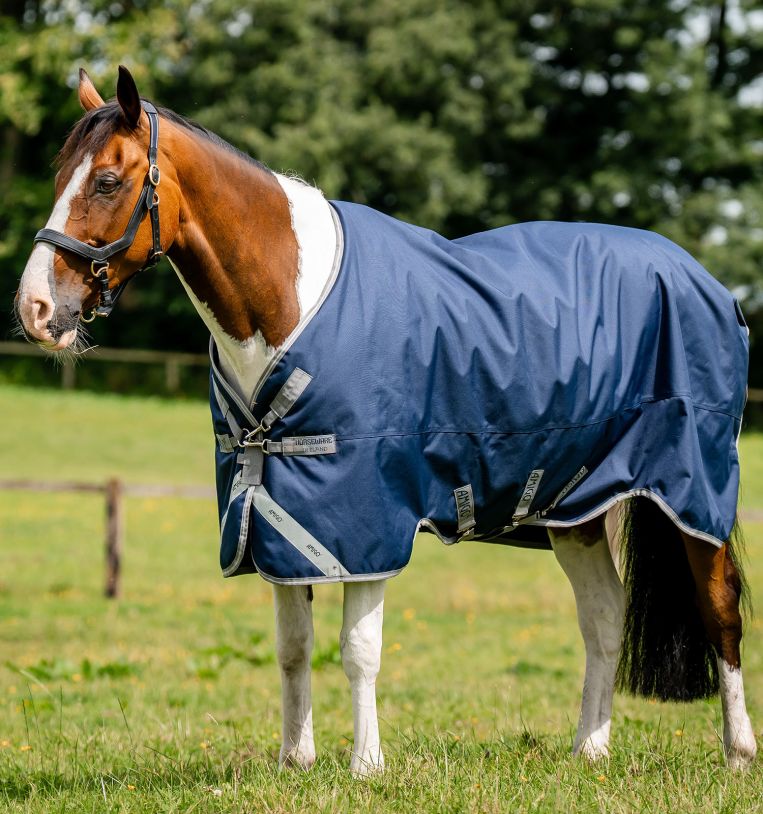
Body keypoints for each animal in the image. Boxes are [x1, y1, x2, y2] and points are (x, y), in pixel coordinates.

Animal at [14, 66, 756, 775]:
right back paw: (589, 751)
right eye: (57, 176)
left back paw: (737, 752)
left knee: (719, 609)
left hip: (692, 492)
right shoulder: (278, 518)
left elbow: (358, 648)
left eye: (108, 180)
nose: (35, 309)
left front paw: (365, 765)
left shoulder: (365, 520)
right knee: (603, 618)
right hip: (574, 506)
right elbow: (293, 646)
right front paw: (295, 759)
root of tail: (703, 280)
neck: (288, 298)